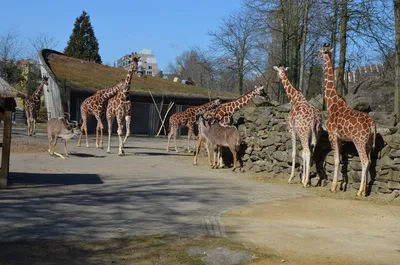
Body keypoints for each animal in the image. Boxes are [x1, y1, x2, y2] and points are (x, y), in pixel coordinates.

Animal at [314, 43, 376, 196]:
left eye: (321, 50)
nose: (315, 54)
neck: (331, 103)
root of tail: (372, 125)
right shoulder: (341, 139)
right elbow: (342, 162)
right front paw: (338, 186)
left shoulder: (332, 135)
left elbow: (336, 160)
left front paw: (333, 187)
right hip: (368, 143)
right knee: (369, 161)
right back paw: (365, 191)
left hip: (359, 141)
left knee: (365, 161)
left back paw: (359, 192)